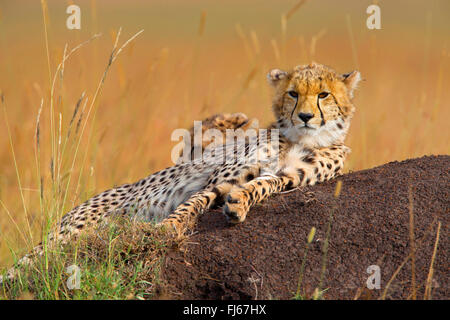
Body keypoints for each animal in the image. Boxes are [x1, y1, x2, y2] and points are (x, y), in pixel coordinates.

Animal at [0, 62, 358, 282]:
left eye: (323, 94)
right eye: (293, 93)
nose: (306, 116)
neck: (303, 138)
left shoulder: (287, 177)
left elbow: (260, 186)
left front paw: (239, 205)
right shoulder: (220, 178)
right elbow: (194, 202)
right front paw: (168, 228)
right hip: (70, 233)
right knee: (29, 264)